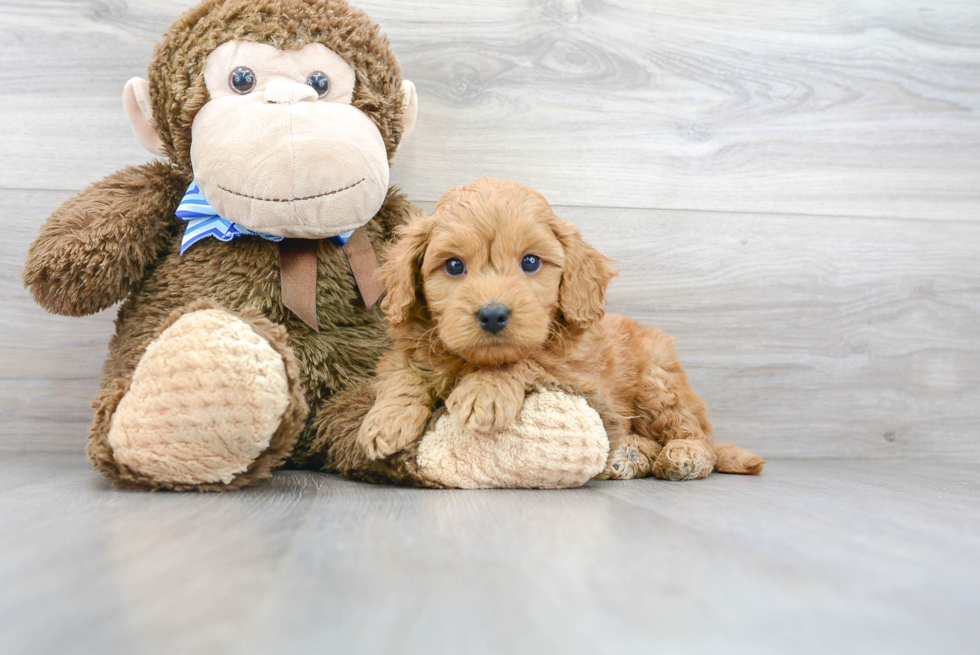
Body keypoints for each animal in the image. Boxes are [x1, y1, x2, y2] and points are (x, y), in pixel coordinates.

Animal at [360, 177, 764, 480]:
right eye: (454, 266)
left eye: (530, 262)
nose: (493, 315)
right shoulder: (407, 351)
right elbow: (405, 373)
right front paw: (385, 420)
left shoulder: (582, 380)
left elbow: (528, 360)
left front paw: (483, 392)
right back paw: (627, 456)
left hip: (659, 384)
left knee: (695, 434)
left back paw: (683, 455)